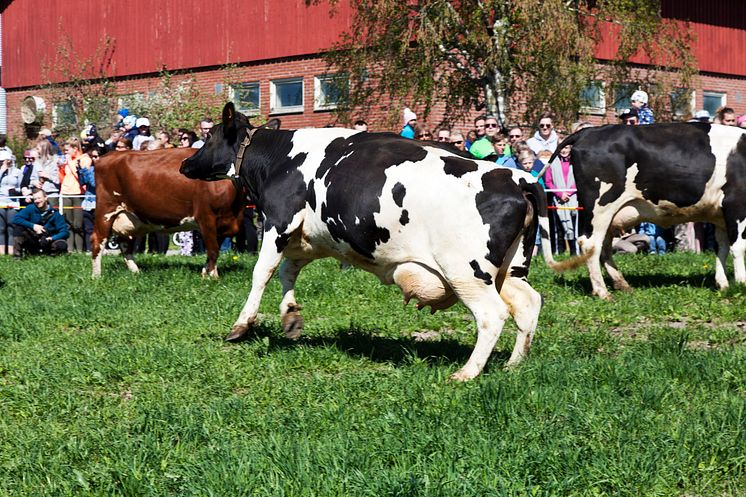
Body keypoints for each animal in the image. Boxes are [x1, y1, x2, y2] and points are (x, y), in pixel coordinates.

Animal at [89, 147, 243, 280]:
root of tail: (108, 155)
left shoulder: (224, 223)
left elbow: (213, 251)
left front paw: (205, 273)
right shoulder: (206, 217)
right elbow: (213, 250)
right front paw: (213, 277)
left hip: (131, 218)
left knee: (124, 243)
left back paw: (136, 272)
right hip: (106, 209)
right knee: (98, 239)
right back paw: (97, 276)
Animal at [180, 101, 560, 380]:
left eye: (209, 138)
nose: (184, 165)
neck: (280, 160)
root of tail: (519, 178)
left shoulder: (279, 222)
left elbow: (262, 272)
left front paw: (241, 325)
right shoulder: (308, 237)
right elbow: (289, 271)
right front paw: (290, 316)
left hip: (467, 271)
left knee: (492, 315)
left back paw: (467, 372)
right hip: (511, 269)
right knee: (528, 303)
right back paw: (513, 363)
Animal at [548, 122, 744, 298]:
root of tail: (588, 131)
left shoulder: (720, 216)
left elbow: (722, 247)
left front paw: (723, 284)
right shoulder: (736, 205)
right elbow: (738, 247)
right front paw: (741, 284)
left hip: (608, 214)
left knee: (604, 245)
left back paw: (622, 284)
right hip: (600, 208)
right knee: (590, 244)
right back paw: (602, 291)